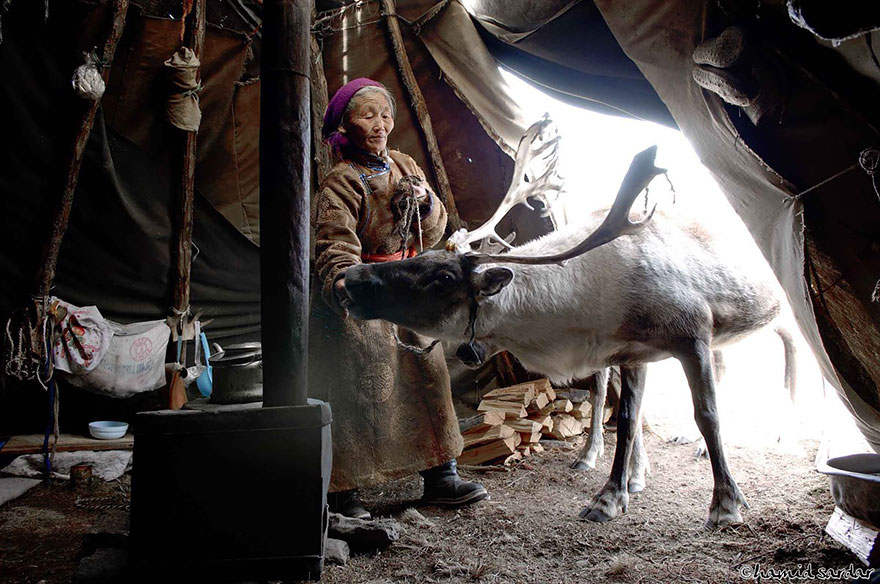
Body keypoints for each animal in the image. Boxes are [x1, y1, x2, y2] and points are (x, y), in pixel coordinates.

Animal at [334, 117, 791, 528]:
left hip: (779, 317)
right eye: (422, 255)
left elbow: (707, 413)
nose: (352, 276)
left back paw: (783, 435)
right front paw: (611, 497)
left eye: (443, 277)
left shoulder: (692, 332)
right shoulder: (633, 351)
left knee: (790, 361)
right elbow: (628, 419)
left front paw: (726, 504)